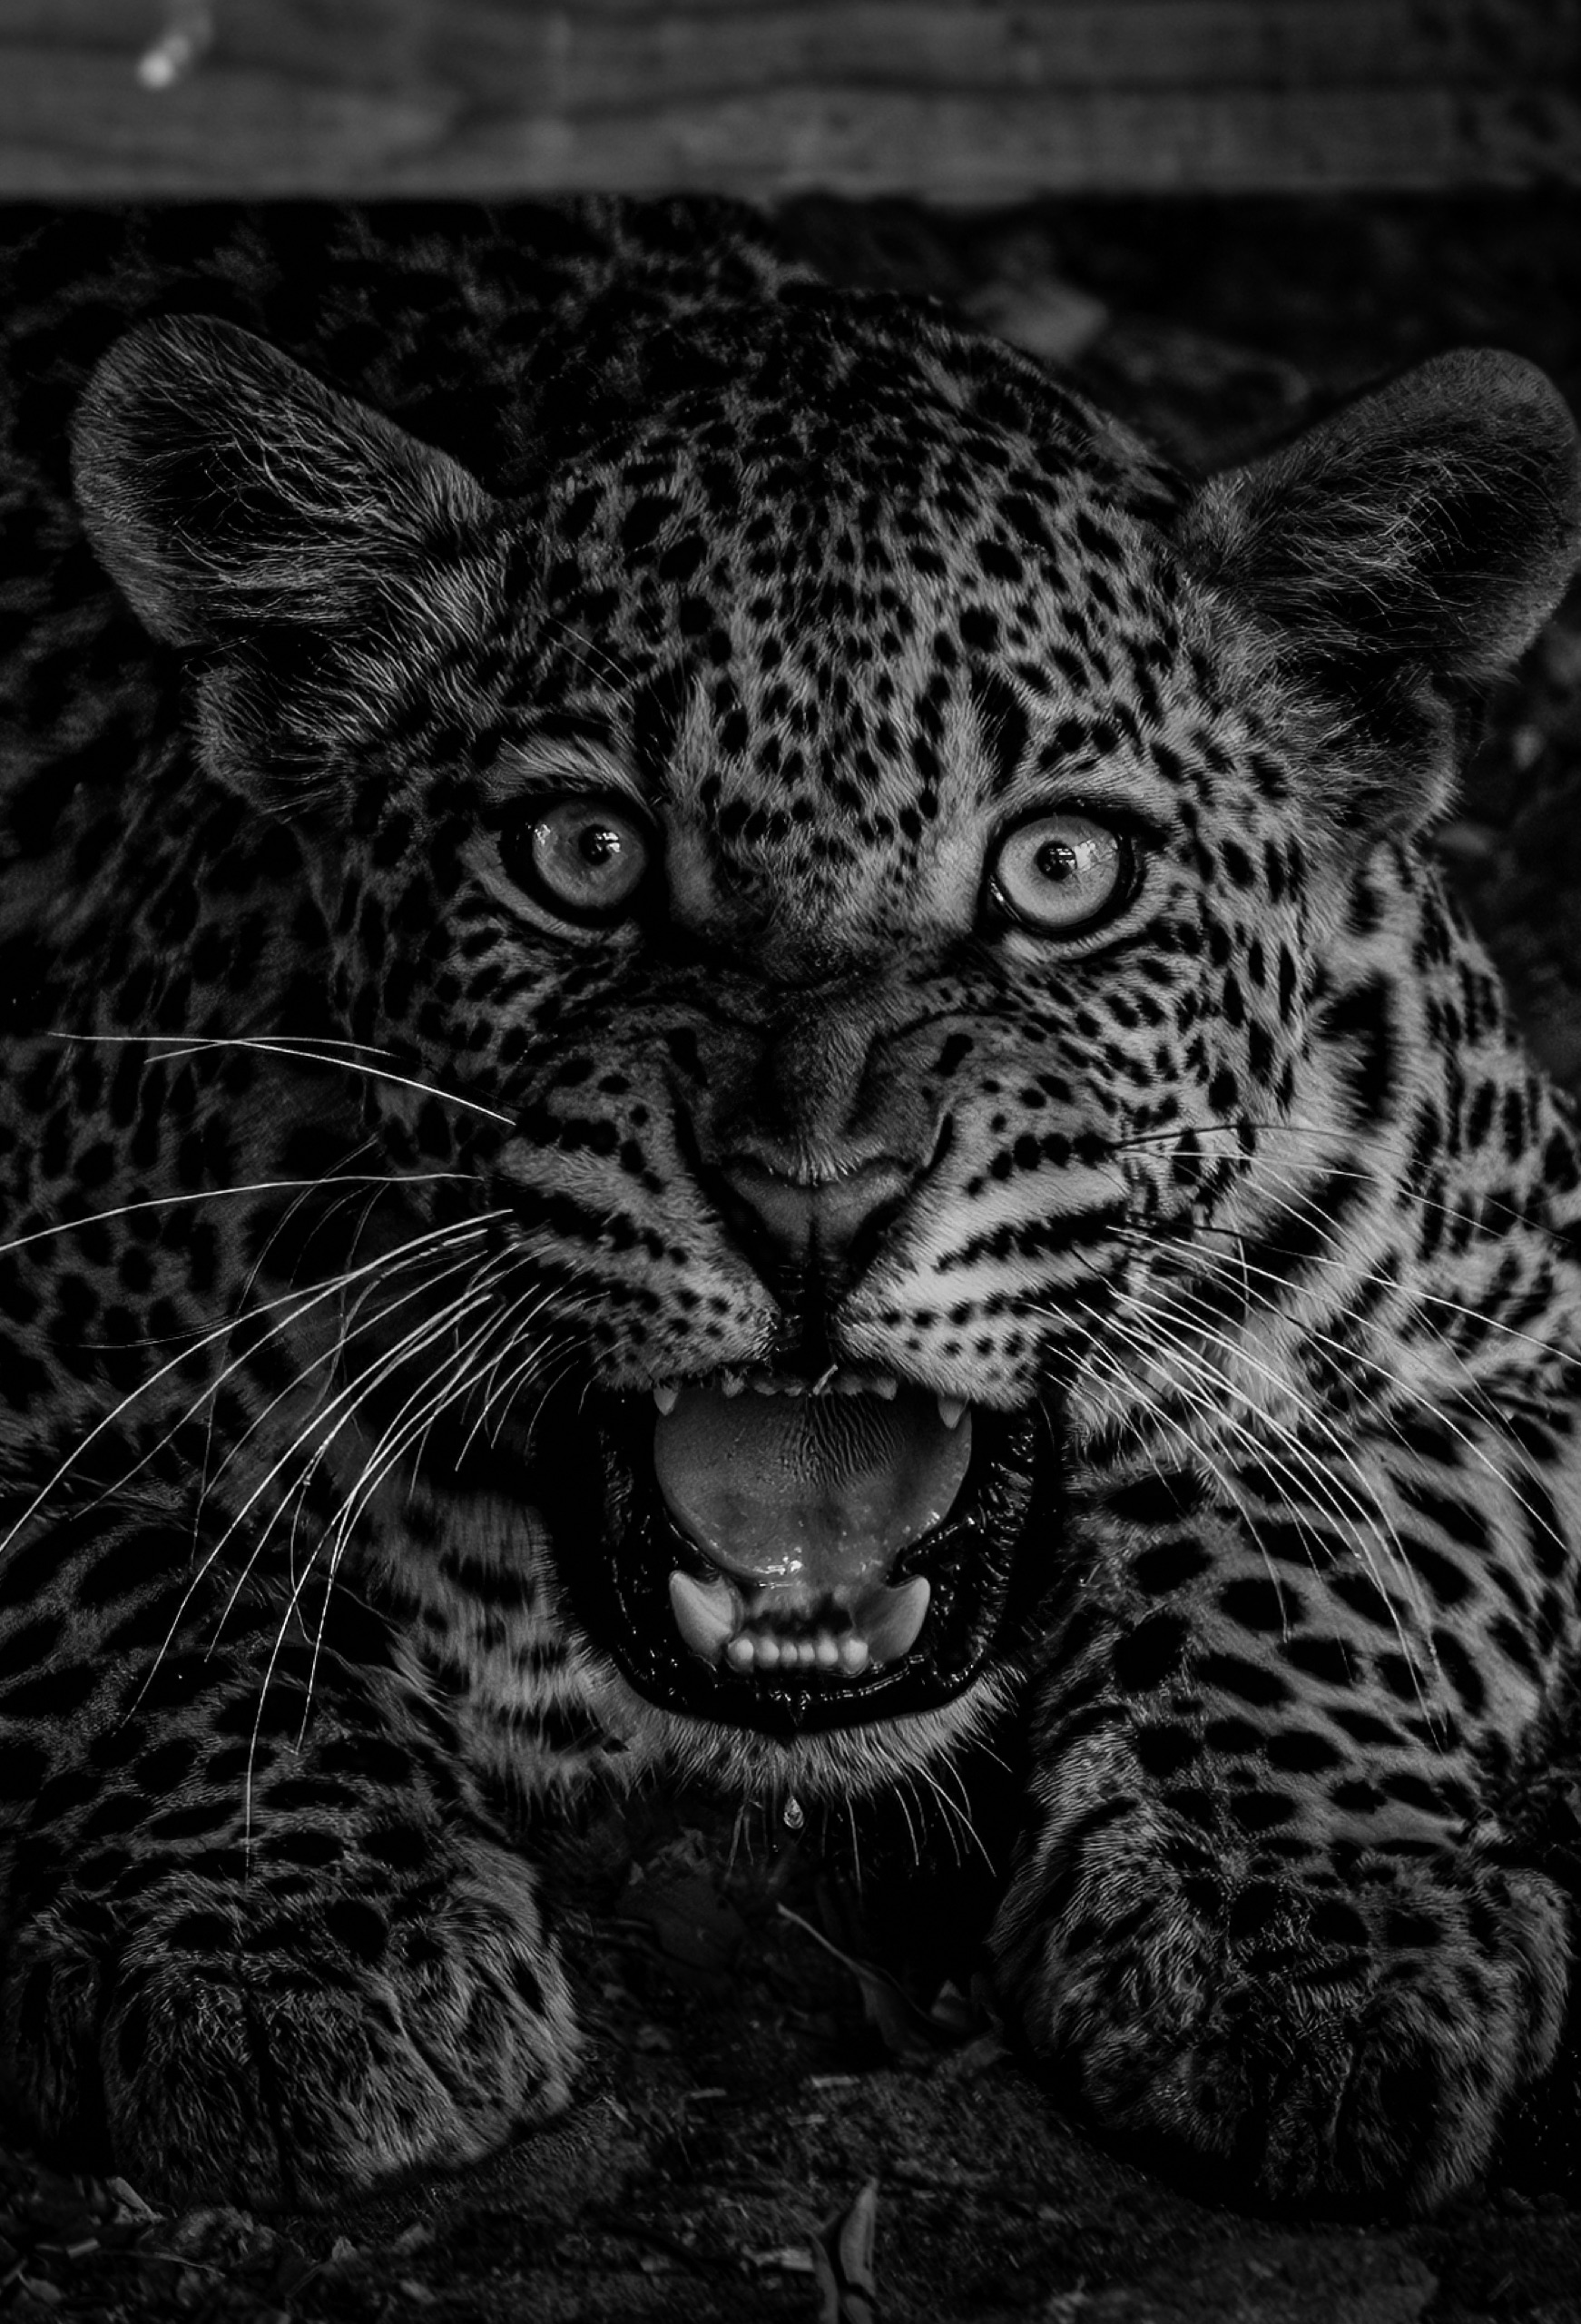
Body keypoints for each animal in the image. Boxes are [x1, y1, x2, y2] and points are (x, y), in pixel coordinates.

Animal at [0, 196, 1579, 2223]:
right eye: (580, 853)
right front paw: (286, 1949)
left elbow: (1300, 1559)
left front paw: (1313, 1945)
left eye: (1062, 869)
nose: (812, 1202)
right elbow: (175, 1605)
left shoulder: (1500, 1340)